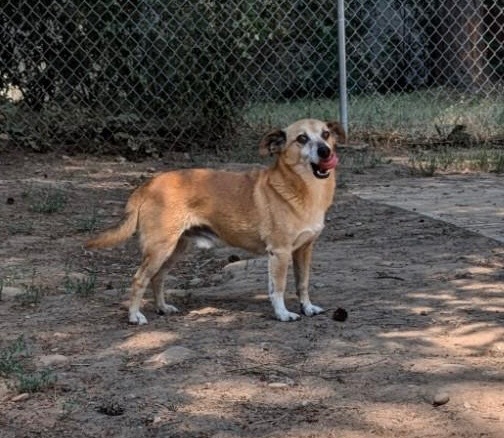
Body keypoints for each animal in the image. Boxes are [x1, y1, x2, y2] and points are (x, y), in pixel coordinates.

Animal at [86, 118, 346, 324]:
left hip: (175, 250)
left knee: (157, 278)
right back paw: (134, 316)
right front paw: (282, 314)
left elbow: (302, 283)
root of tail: (149, 184)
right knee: (139, 279)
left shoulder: (304, 249)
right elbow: (278, 288)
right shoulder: (279, 253)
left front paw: (307, 308)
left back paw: (162, 308)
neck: (302, 188)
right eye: (302, 138)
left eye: (326, 134)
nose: (325, 151)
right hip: (160, 249)